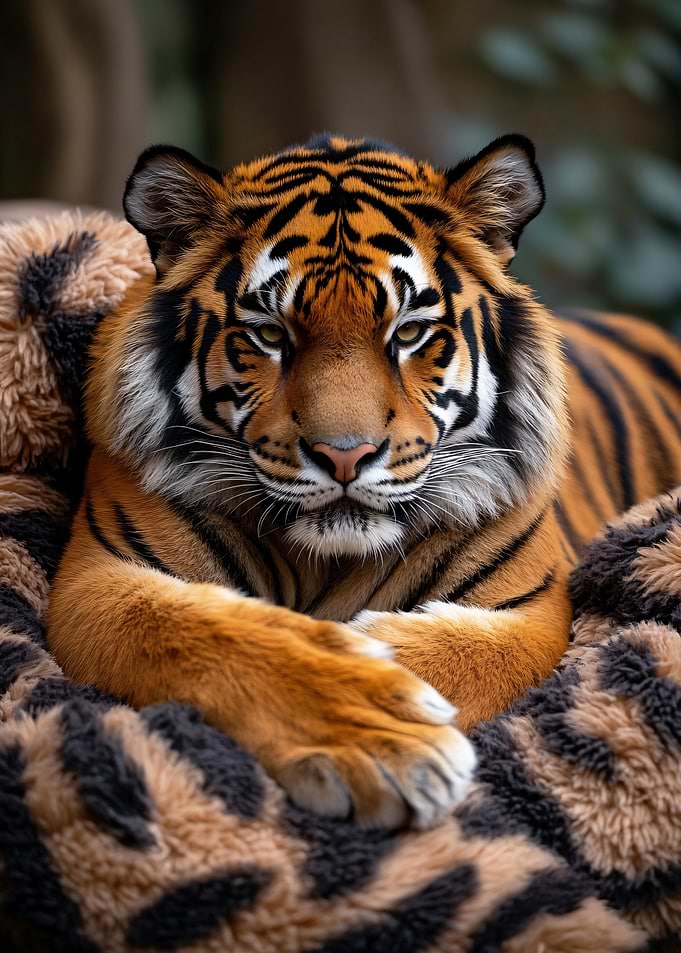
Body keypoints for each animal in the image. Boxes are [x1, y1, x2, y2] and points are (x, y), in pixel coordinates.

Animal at [47, 133, 681, 830]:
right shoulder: (96, 580)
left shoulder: (528, 609)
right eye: (270, 334)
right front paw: (379, 731)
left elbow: (458, 653)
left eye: (409, 333)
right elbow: (202, 631)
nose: (345, 456)